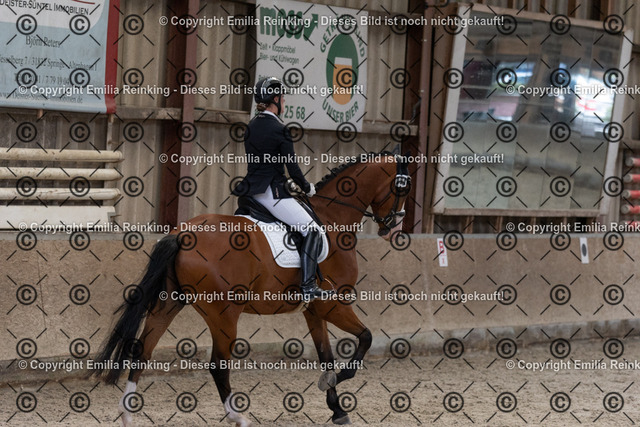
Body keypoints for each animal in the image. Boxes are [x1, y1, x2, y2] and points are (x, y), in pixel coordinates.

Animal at [92, 150, 411, 426]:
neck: (332, 220)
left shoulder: (313, 311)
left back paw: (127, 414)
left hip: (169, 304)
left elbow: (326, 355)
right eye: (403, 188)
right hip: (224, 315)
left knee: (142, 351)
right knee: (218, 365)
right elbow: (366, 337)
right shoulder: (332, 304)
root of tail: (182, 234)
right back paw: (239, 417)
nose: (393, 228)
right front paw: (337, 381)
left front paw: (337, 409)